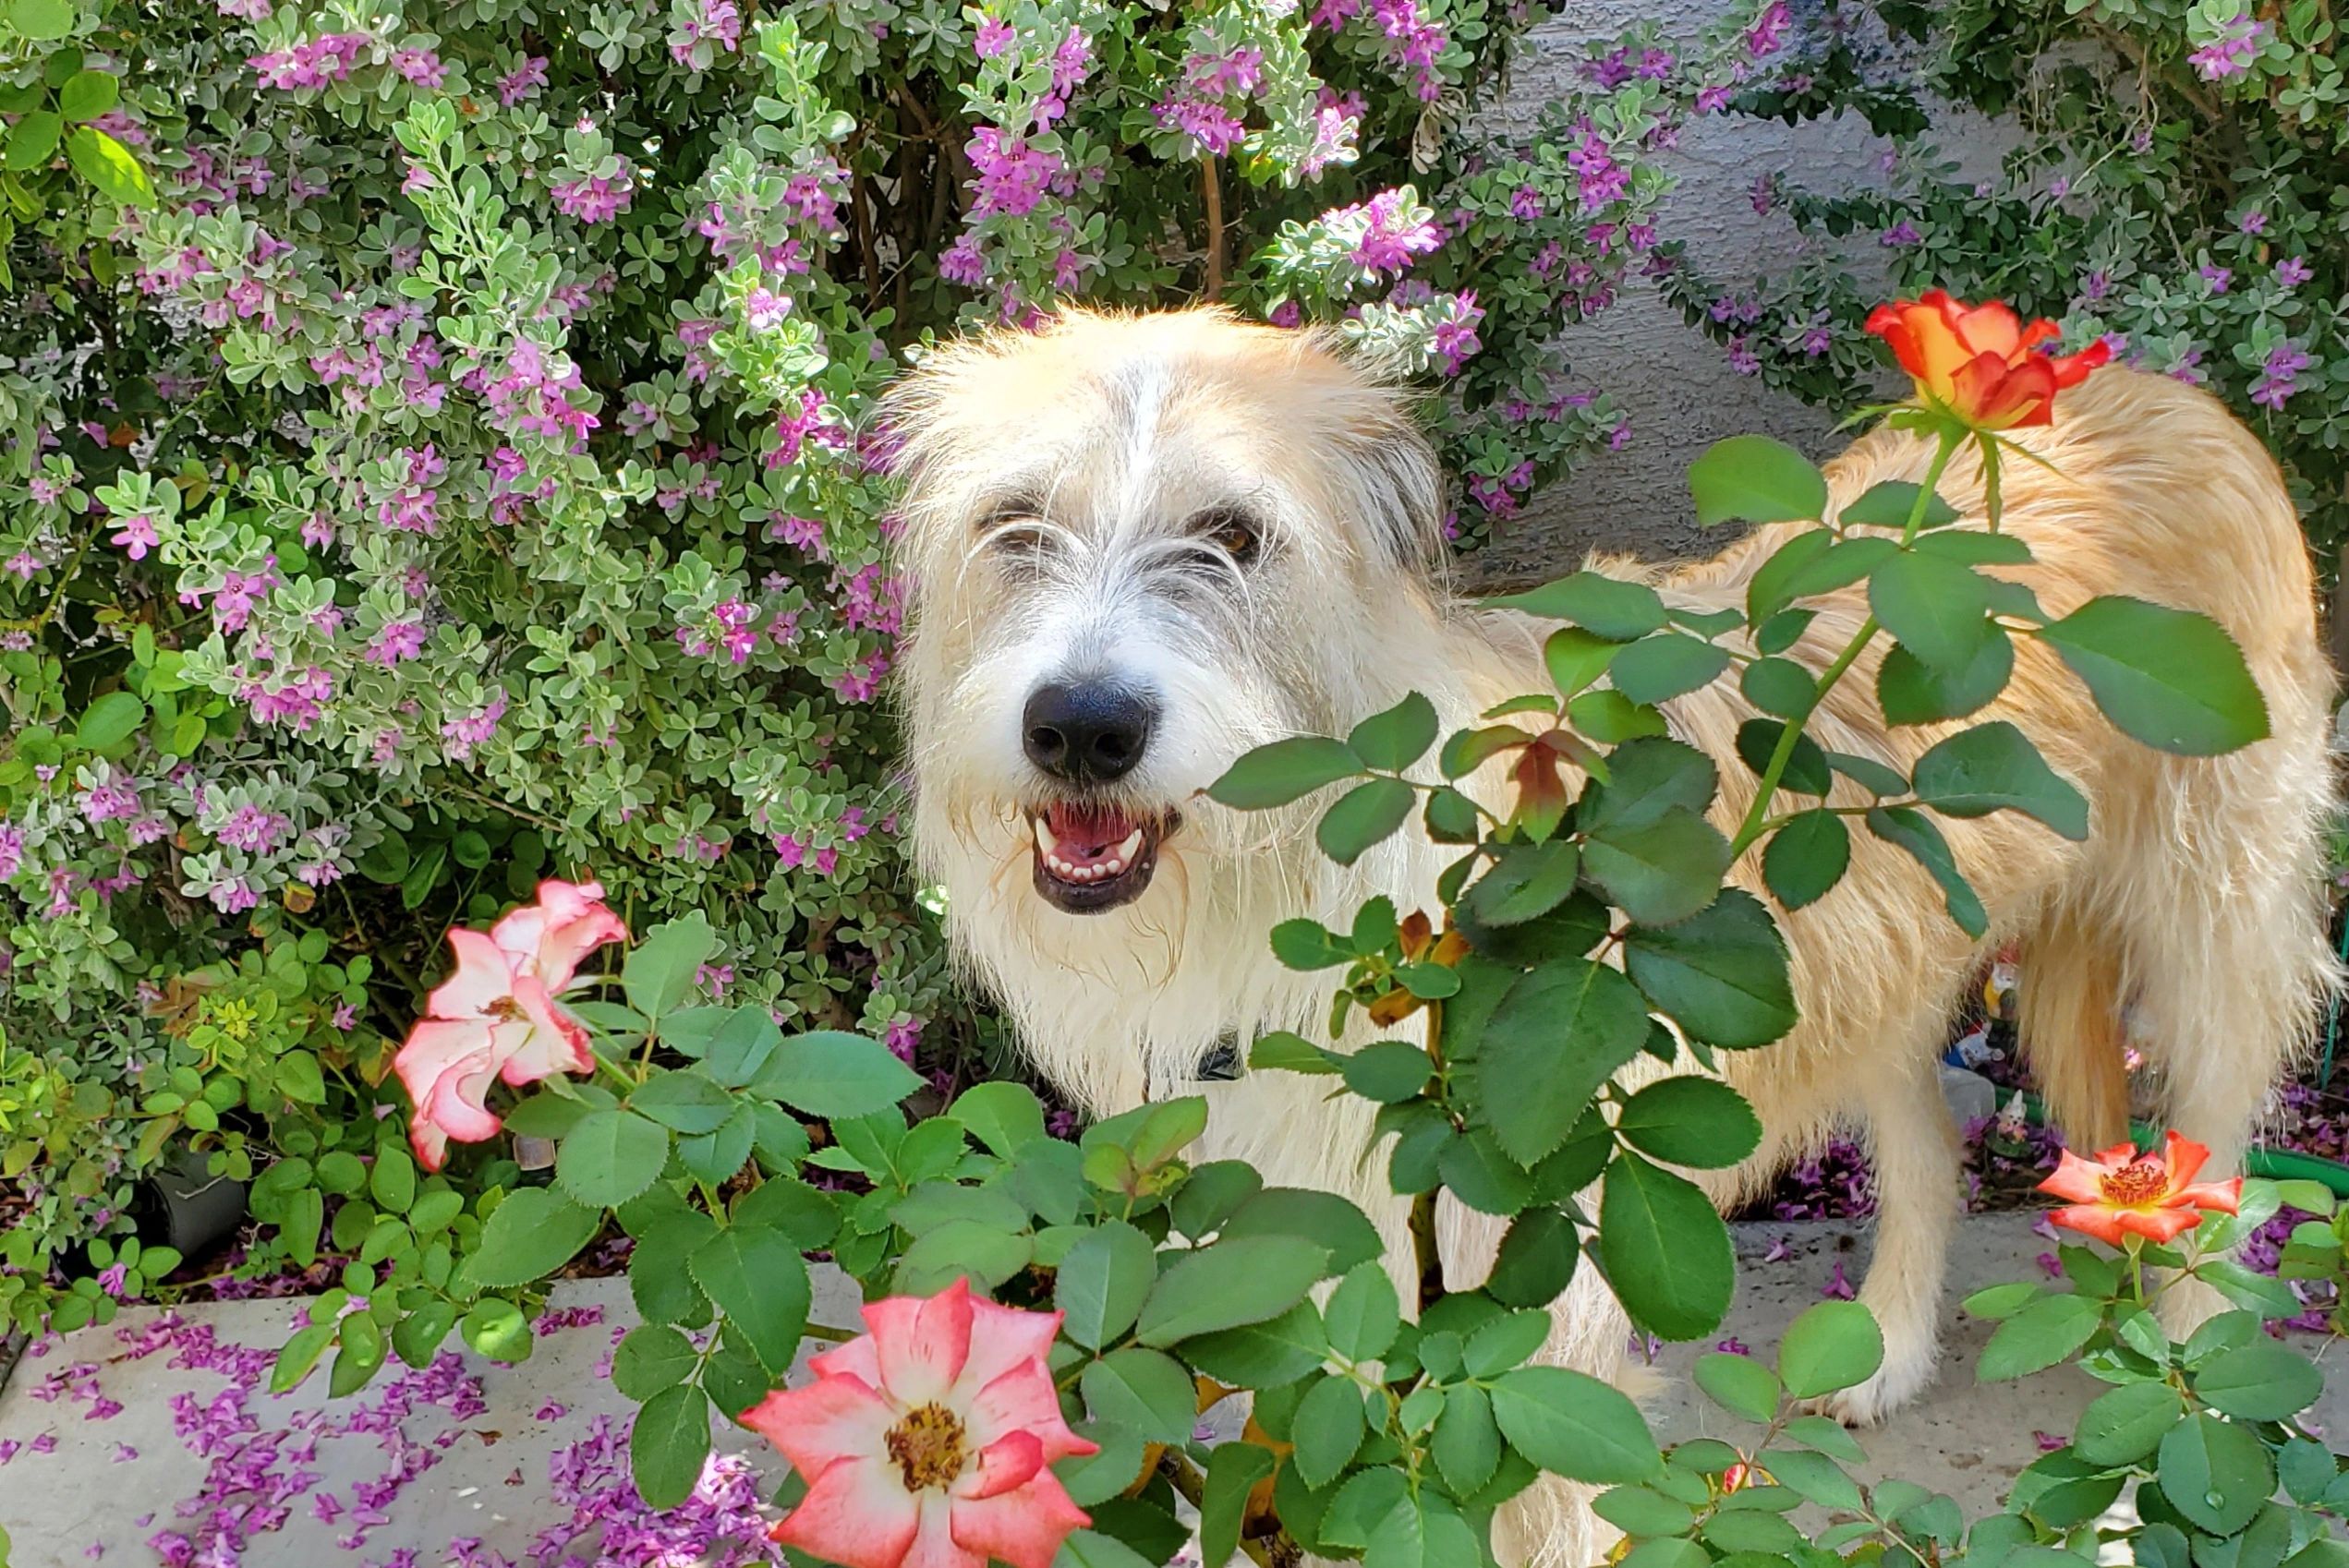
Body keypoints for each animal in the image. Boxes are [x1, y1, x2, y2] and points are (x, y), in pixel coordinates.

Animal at [878, 309, 2330, 1568]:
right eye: (1012, 522)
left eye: (1231, 533)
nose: (1081, 727)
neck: (1302, 882)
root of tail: (2145, 387)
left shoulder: (1527, 1302)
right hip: (1869, 962)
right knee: (1927, 1154)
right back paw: (1886, 1350)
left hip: (2210, 932)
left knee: (2205, 1180)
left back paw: (2182, 1427)